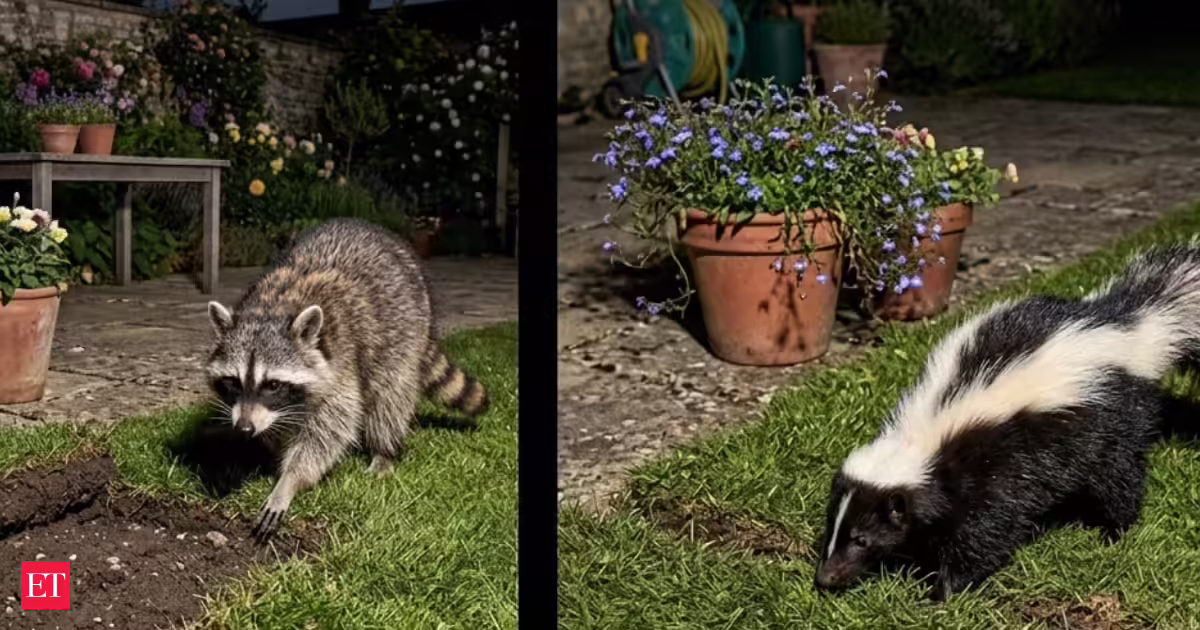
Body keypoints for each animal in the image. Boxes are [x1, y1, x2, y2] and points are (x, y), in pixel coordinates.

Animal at [205, 218, 489, 538]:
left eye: (273, 385)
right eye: (233, 382)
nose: (243, 429)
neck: (272, 308)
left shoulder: (340, 367)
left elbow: (329, 431)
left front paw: (289, 480)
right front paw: (272, 449)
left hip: (402, 330)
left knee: (391, 395)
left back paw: (385, 450)